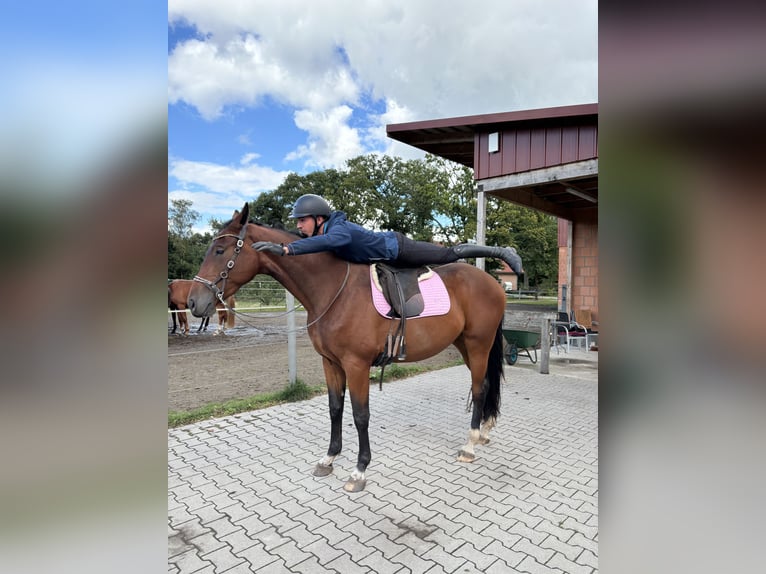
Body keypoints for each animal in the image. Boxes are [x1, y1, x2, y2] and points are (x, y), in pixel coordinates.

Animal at [187, 205, 510, 492]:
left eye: (220, 251)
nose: (193, 302)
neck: (333, 290)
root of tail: (492, 283)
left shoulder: (357, 365)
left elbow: (360, 415)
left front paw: (359, 470)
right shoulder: (330, 363)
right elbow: (335, 409)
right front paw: (329, 458)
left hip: (478, 344)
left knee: (479, 388)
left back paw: (470, 444)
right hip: (465, 345)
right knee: (486, 383)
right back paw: (484, 431)